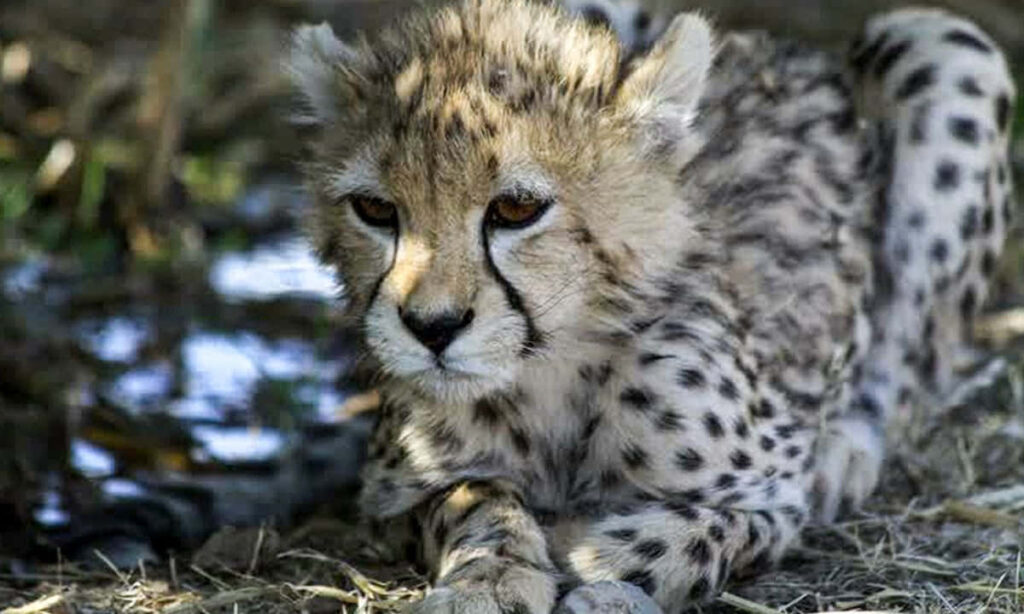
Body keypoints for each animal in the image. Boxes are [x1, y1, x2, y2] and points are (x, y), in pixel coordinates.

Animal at [287, 1, 1016, 611]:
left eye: (516, 208)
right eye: (375, 209)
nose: (431, 328)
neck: (550, 372)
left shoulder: (776, 493)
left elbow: (713, 529)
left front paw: (594, 558)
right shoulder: (391, 491)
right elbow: (471, 495)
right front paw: (489, 576)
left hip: (945, 46)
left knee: (909, 370)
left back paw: (848, 451)